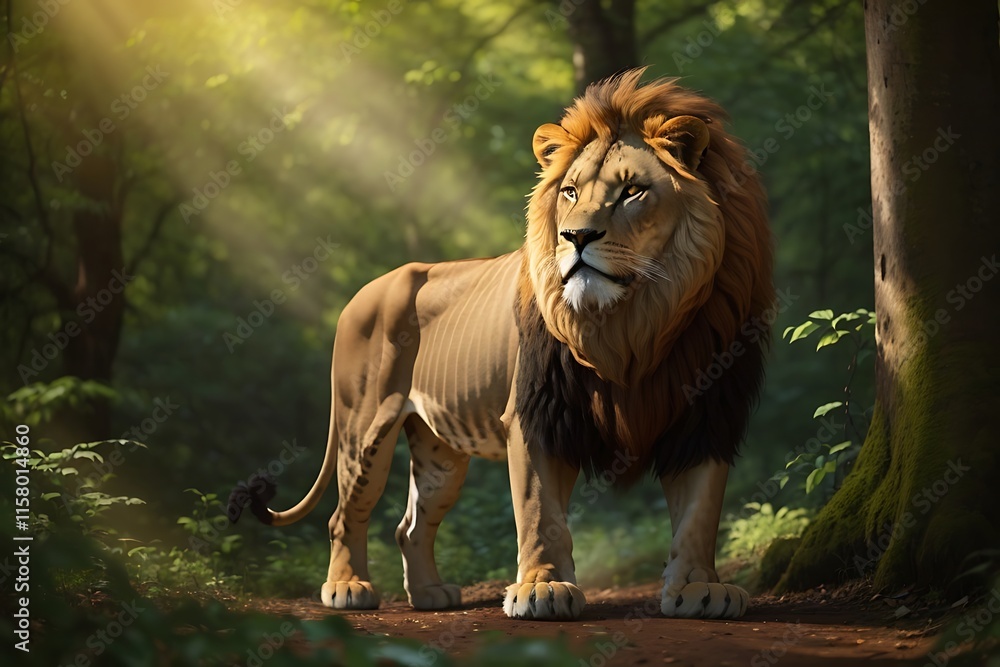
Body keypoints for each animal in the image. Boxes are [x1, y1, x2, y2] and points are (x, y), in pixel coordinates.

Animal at [229, 68, 773, 621]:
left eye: (633, 191)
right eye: (570, 192)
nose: (575, 236)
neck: (631, 323)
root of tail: (359, 294)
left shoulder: (708, 411)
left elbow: (700, 512)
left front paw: (699, 588)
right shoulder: (536, 411)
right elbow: (538, 510)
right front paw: (543, 589)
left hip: (439, 451)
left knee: (411, 525)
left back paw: (430, 595)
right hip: (364, 427)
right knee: (345, 515)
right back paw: (347, 589)